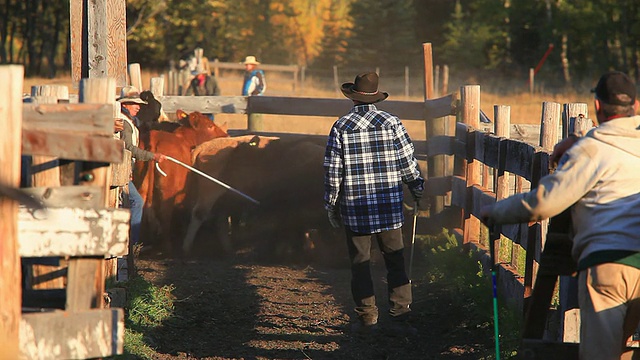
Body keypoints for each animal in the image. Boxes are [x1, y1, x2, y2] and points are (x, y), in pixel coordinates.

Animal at [134, 110, 229, 253]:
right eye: (210, 126)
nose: (226, 136)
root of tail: (154, 138)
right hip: (167, 192)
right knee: (164, 214)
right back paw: (167, 246)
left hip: (142, 187)